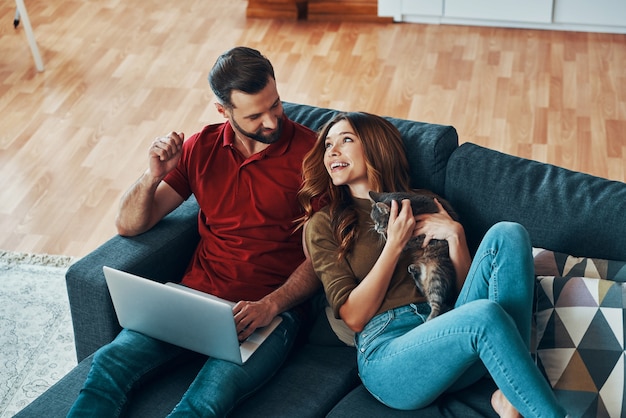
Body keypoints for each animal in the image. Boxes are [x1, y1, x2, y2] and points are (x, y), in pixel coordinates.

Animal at [366, 191, 458, 322]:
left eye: (379, 223)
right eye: (374, 222)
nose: (376, 229)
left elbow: (409, 241)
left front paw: (388, 237)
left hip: (436, 275)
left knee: (436, 304)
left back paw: (429, 320)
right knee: (426, 293)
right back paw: (414, 269)